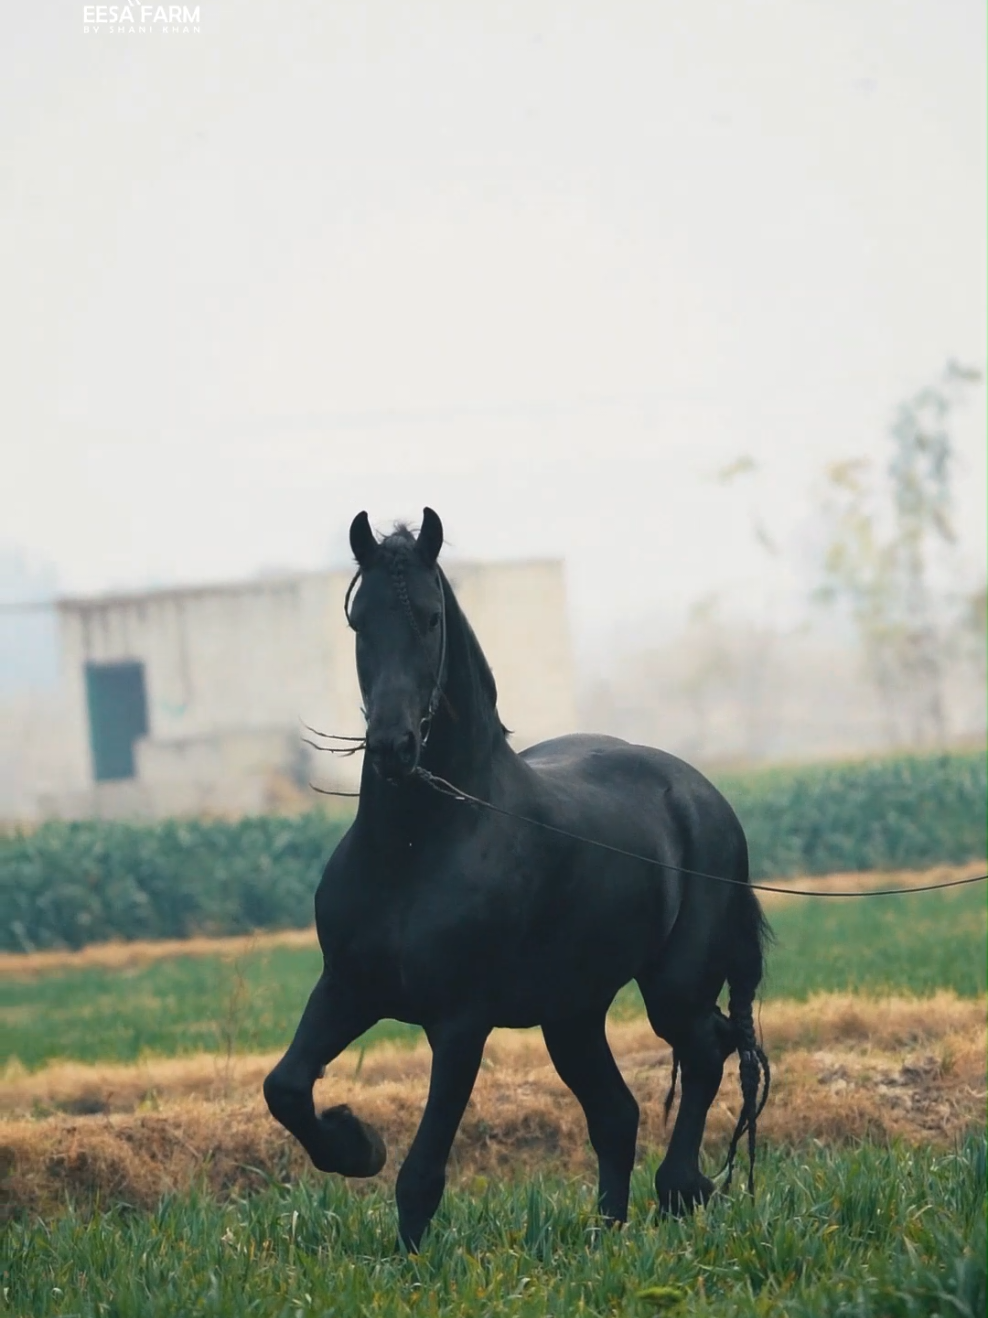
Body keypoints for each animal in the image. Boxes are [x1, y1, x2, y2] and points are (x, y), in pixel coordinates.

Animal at [264, 508, 774, 1249]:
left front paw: (407, 1253)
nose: (392, 746)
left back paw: (680, 1190)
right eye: (360, 621)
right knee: (617, 1113)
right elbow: (286, 1087)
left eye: (431, 618)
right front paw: (357, 1144)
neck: (415, 849)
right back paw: (605, 1234)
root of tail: (703, 795)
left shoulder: (460, 1023)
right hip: (572, 1014)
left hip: (672, 988)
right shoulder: (347, 988)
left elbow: (421, 1173)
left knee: (706, 1051)